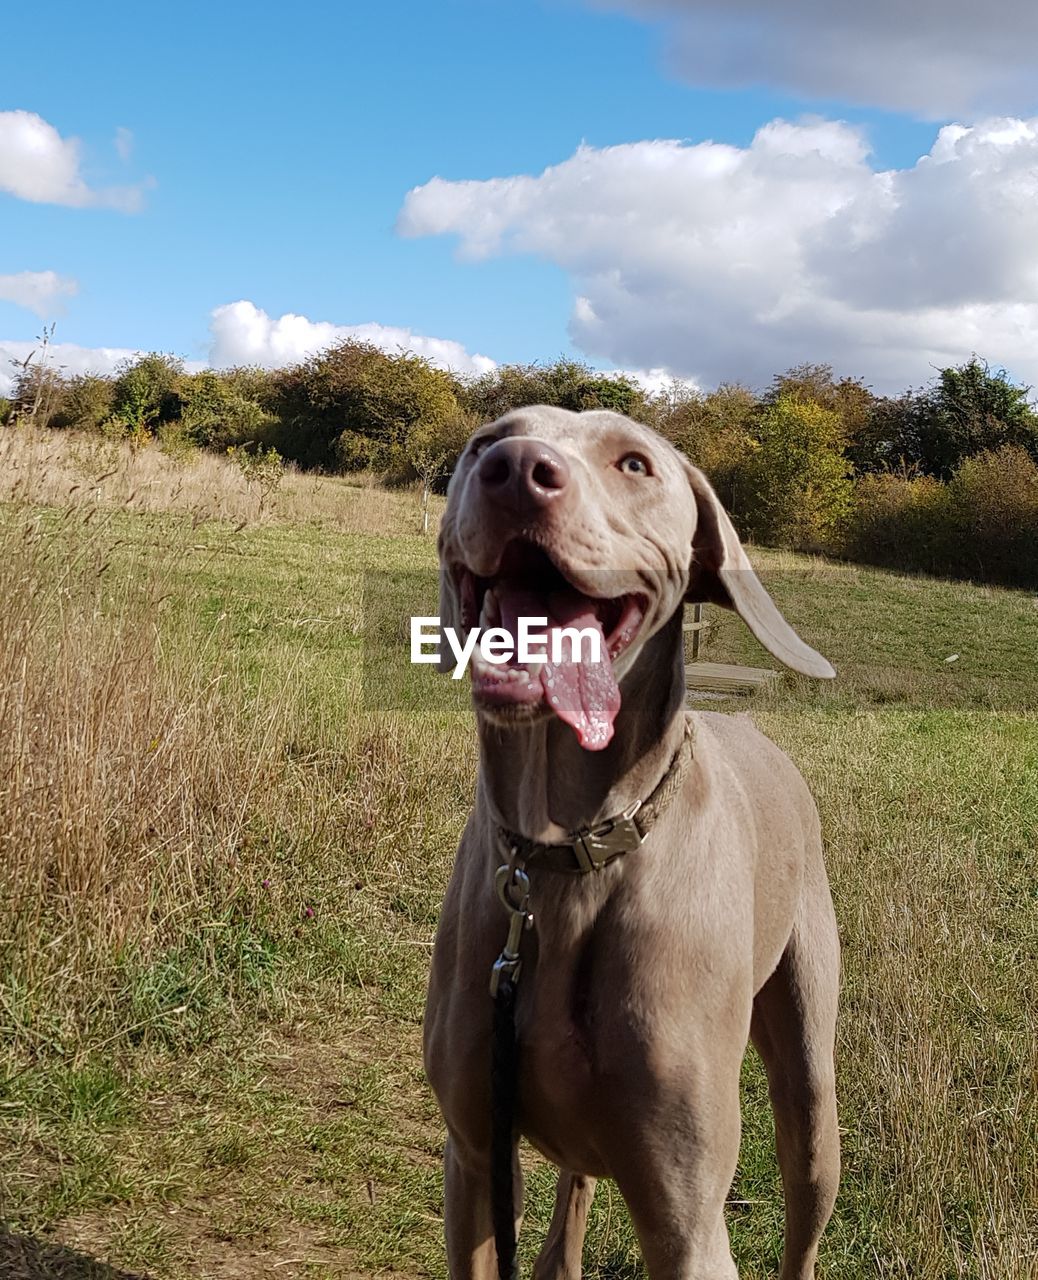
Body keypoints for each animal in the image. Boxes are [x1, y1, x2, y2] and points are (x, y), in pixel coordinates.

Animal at [427, 404, 839, 1274]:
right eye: (487, 441)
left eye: (635, 464)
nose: (515, 471)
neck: (567, 853)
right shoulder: (474, 1153)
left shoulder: (689, 1221)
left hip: (810, 1076)